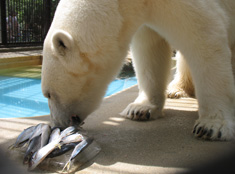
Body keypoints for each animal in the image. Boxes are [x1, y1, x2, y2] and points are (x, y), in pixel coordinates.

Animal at [41, 0, 235, 141]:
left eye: (48, 94)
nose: (58, 125)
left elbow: (203, 37)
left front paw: (212, 126)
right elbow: (149, 48)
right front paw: (140, 109)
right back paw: (175, 89)